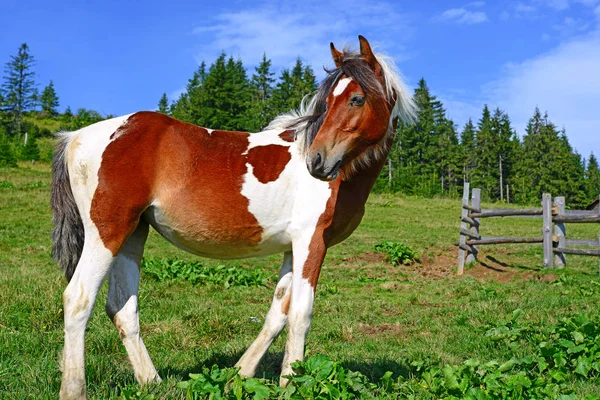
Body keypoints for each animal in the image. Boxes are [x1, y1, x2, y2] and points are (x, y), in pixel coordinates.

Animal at [51, 36, 418, 398]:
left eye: (356, 98)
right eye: (329, 100)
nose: (316, 162)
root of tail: (76, 137)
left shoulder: (292, 248)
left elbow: (277, 313)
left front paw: (241, 375)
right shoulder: (311, 241)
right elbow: (301, 313)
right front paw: (294, 382)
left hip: (133, 234)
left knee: (122, 308)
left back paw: (152, 381)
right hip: (108, 232)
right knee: (78, 299)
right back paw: (74, 388)